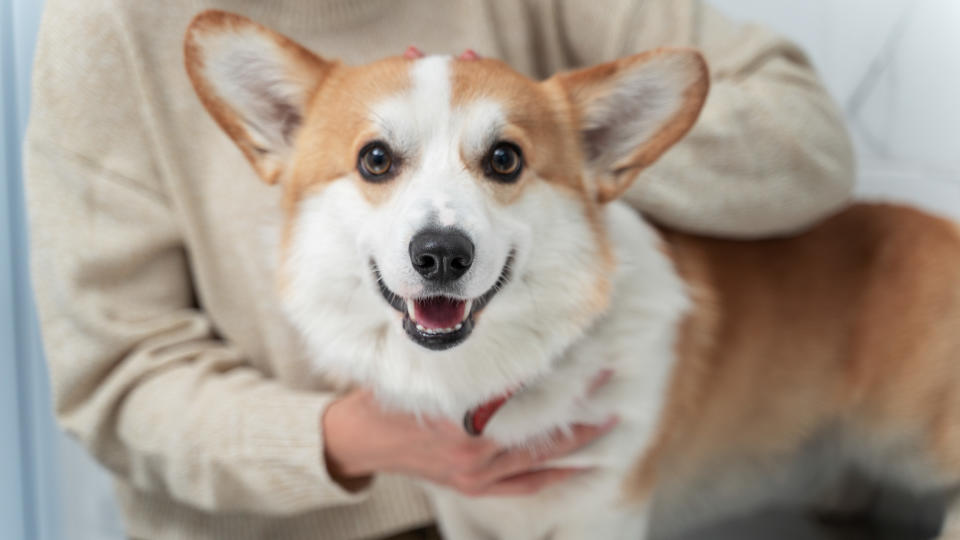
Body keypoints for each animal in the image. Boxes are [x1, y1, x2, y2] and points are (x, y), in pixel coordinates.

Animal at [184, 8, 960, 540]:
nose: (442, 255)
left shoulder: (605, 508)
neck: (484, 376)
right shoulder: (463, 512)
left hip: (917, 434)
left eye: (505, 160)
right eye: (375, 159)